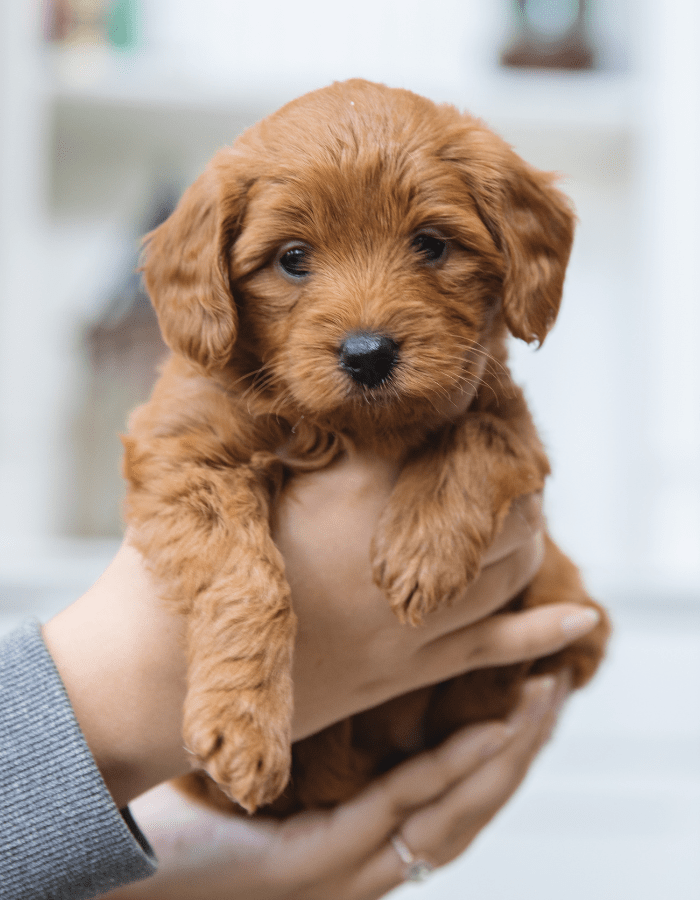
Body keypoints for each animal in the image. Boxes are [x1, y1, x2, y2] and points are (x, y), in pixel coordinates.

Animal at [123, 79, 608, 816]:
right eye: (293, 258)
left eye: (431, 245)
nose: (369, 354)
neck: (343, 429)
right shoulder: (184, 453)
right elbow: (245, 579)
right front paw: (243, 728)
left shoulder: (505, 412)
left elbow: (479, 429)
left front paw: (424, 549)